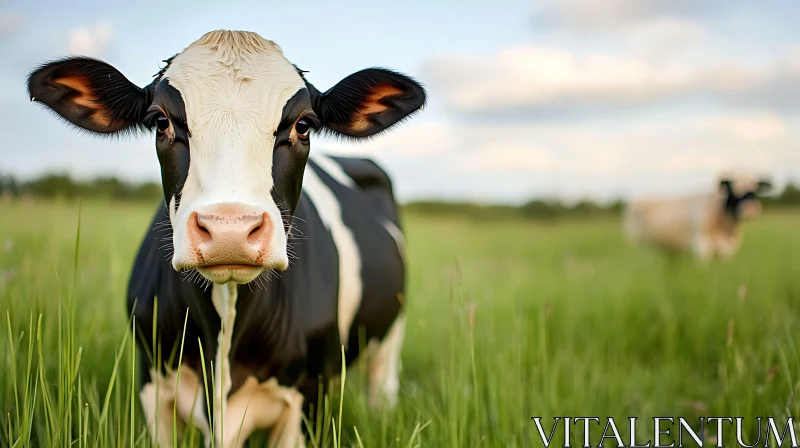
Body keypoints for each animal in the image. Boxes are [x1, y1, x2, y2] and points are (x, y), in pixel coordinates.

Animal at [26, 29, 424, 446]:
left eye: (303, 125)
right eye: (160, 121)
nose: (228, 230)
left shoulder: (310, 393)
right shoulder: (151, 381)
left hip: (390, 339)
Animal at [620, 173, 772, 260]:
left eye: (754, 190)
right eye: (732, 190)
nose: (749, 209)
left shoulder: (726, 250)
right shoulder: (701, 245)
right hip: (637, 240)